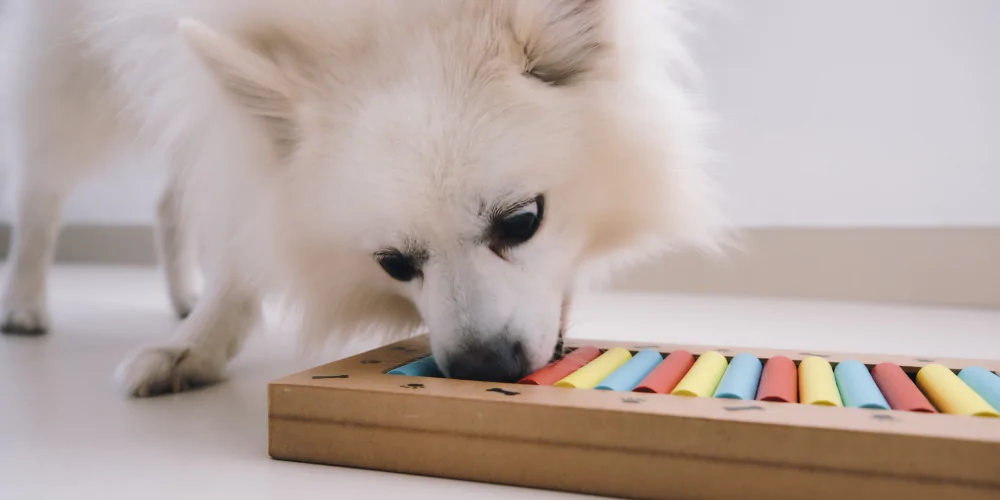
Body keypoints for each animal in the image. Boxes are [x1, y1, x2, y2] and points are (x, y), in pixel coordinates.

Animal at [0, 0, 724, 398]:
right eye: (395, 265)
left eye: (522, 222)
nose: (481, 366)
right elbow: (245, 236)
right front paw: (197, 347)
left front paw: (198, 332)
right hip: (72, 73)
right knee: (42, 193)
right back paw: (25, 303)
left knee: (173, 198)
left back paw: (181, 292)